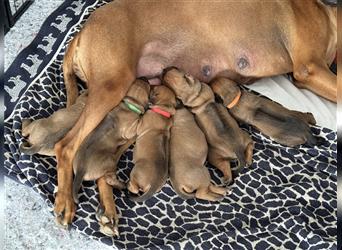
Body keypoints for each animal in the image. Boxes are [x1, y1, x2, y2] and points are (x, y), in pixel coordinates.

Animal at [71, 79, 150, 236]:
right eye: (149, 87)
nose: (146, 79)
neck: (129, 105)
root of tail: (81, 168)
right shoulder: (131, 128)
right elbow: (138, 123)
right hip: (110, 162)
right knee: (109, 179)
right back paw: (123, 184)